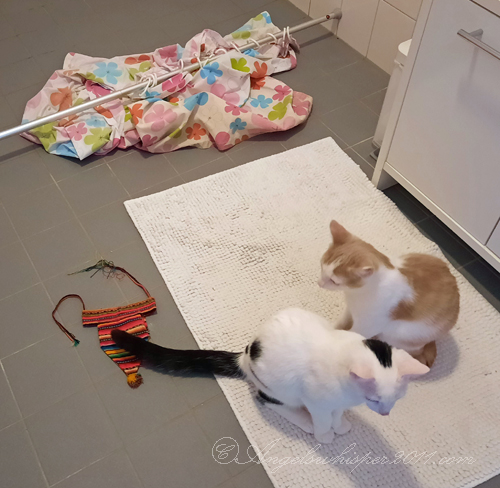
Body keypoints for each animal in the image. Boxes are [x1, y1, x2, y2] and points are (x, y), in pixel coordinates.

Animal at [112, 307, 429, 444]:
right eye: (375, 400)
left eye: (395, 399)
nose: (386, 413)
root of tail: (246, 353)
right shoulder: (317, 401)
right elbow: (323, 418)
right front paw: (325, 433)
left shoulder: (339, 402)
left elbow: (337, 414)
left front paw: (340, 425)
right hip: (279, 388)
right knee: (267, 401)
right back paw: (304, 422)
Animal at [319, 220, 460, 368]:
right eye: (321, 266)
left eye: (334, 281)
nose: (319, 283)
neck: (357, 293)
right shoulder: (350, 310)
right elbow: (340, 323)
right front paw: (330, 330)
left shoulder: (367, 326)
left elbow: (351, 335)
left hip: (402, 336)